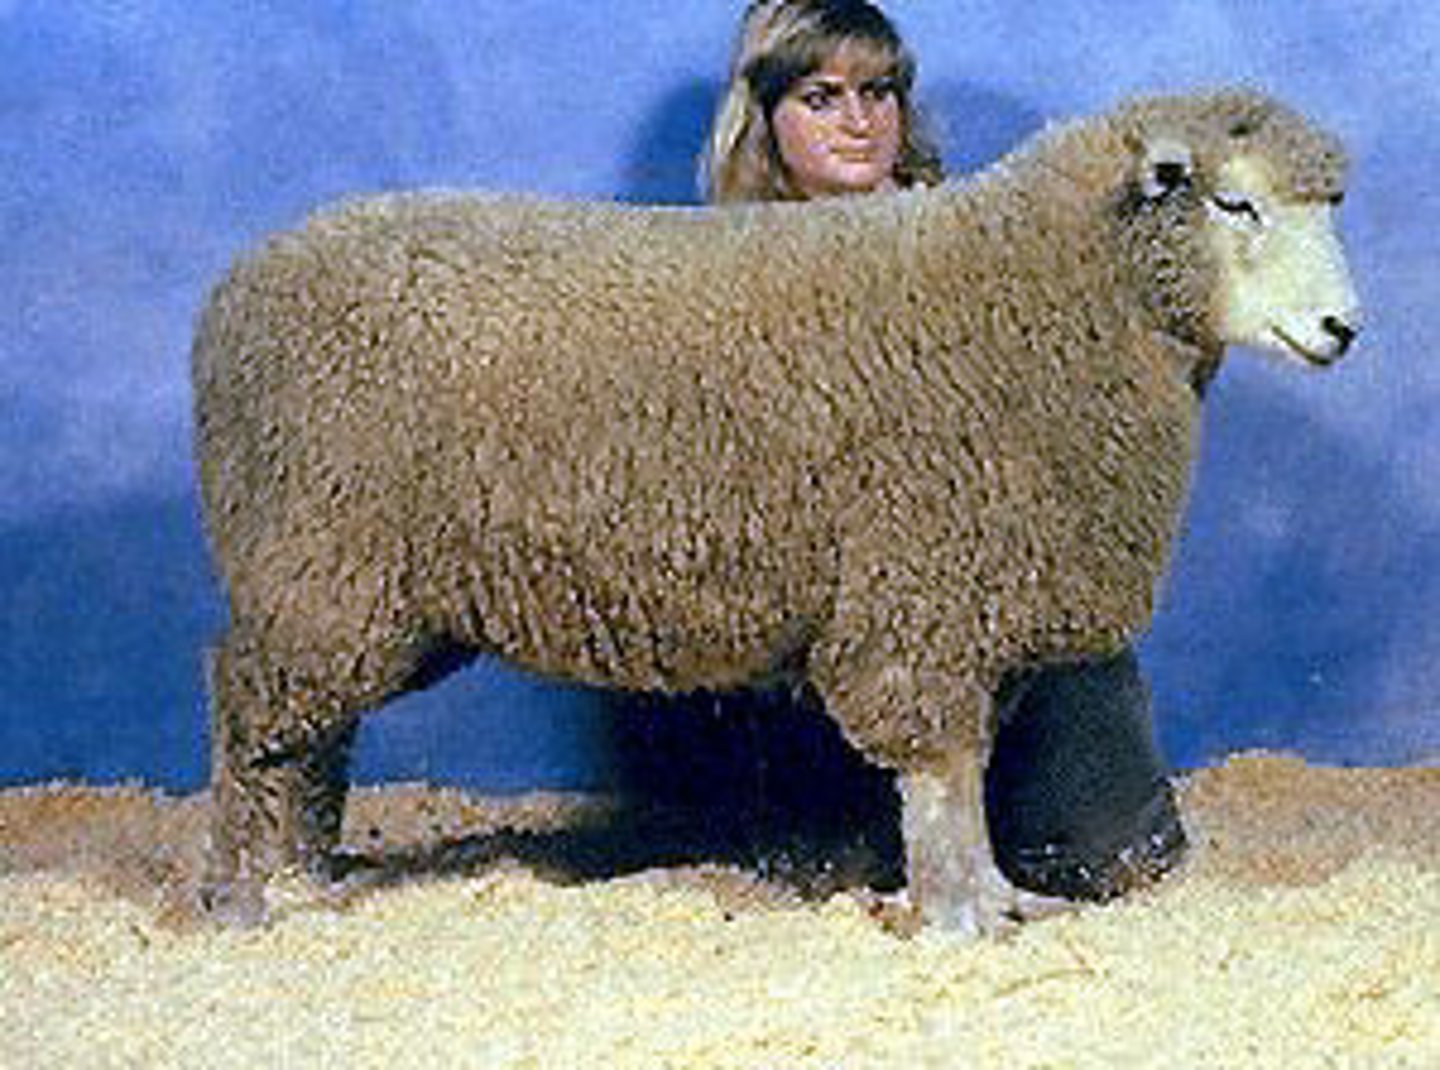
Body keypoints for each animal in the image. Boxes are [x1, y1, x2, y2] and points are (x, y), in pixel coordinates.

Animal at [192, 87, 1360, 933]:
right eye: (1236, 203)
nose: (1344, 328)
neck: (1048, 299)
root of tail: (235, 289)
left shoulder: (973, 593)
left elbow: (968, 771)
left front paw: (995, 895)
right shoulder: (916, 593)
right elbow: (941, 772)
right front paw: (963, 916)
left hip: (364, 590)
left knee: (313, 735)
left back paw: (309, 875)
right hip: (319, 561)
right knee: (249, 711)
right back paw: (242, 896)